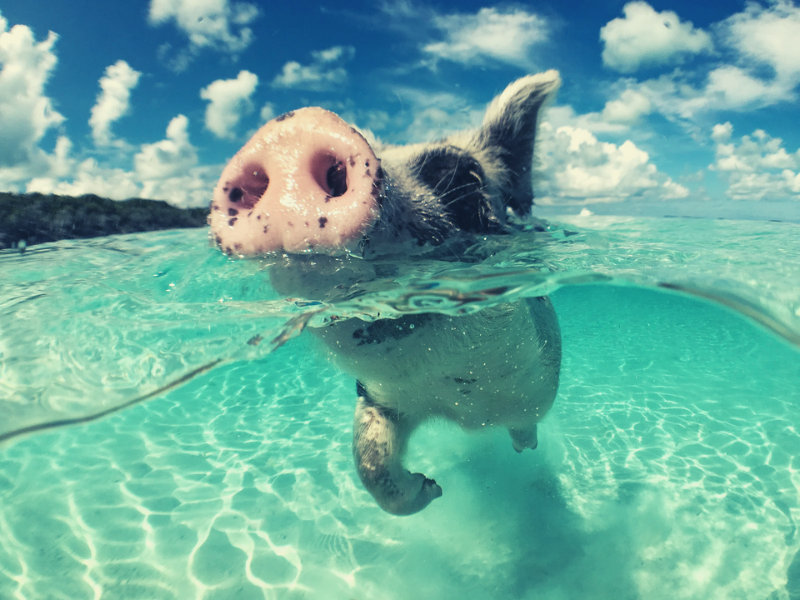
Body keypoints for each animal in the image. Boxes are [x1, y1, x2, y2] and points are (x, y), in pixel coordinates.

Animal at [209, 71, 562, 515]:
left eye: (463, 176)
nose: (291, 131)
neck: (462, 405)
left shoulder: (534, 386)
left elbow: (525, 423)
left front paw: (508, 454)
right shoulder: (378, 398)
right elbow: (370, 461)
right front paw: (432, 488)